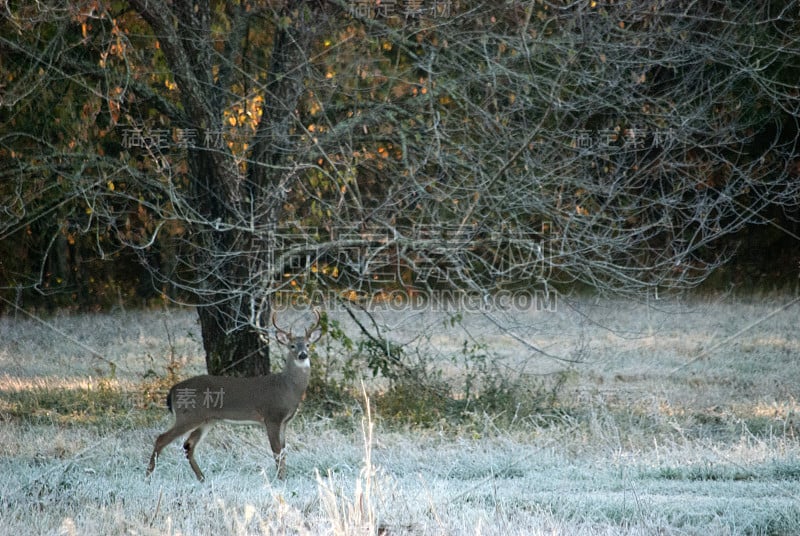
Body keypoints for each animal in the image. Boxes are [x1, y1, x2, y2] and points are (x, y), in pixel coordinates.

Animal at [145, 310, 320, 482]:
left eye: (308, 345)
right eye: (292, 346)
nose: (303, 355)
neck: (287, 387)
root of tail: (173, 390)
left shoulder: (284, 421)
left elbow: (283, 451)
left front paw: (283, 478)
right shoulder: (271, 417)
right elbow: (276, 450)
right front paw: (280, 479)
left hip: (207, 419)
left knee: (189, 445)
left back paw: (202, 478)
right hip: (188, 415)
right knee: (162, 438)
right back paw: (148, 477)